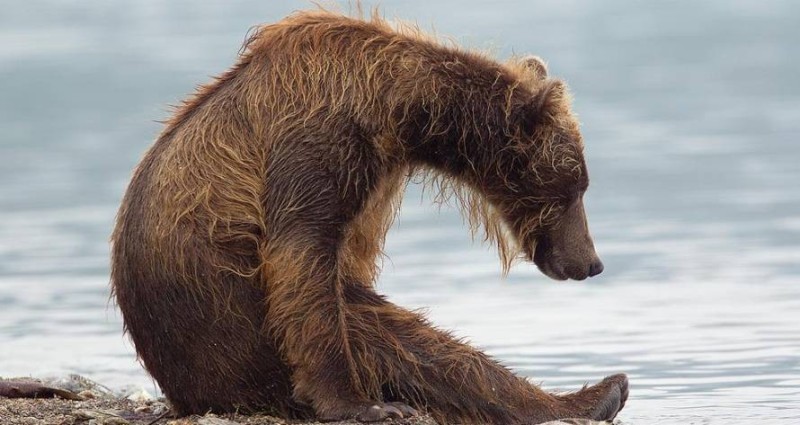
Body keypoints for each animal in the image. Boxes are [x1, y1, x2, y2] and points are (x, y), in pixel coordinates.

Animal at [111, 9, 624, 424]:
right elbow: (304, 264)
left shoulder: (372, 179)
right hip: (231, 339)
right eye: (575, 188)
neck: (395, 111)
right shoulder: (314, 144)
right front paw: (362, 404)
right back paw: (587, 398)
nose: (591, 263)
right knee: (381, 333)